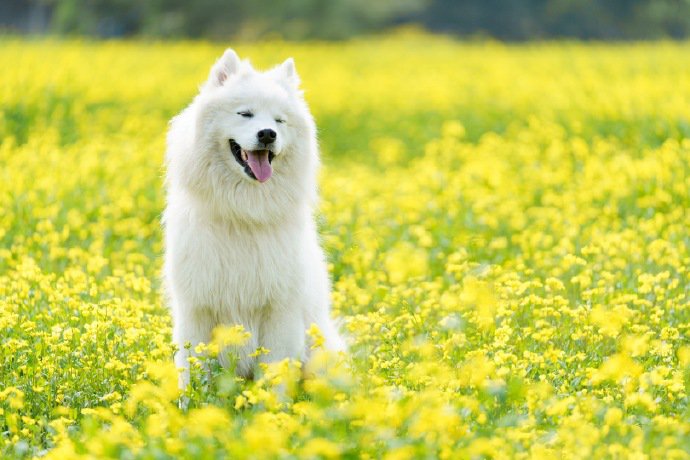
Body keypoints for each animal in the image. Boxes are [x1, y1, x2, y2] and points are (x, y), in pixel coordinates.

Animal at [162, 48, 344, 382]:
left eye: (279, 120)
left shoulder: (279, 310)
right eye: (244, 114)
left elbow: (274, 374)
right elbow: (193, 371)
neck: (243, 213)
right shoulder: (196, 307)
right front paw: (192, 398)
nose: (268, 134)